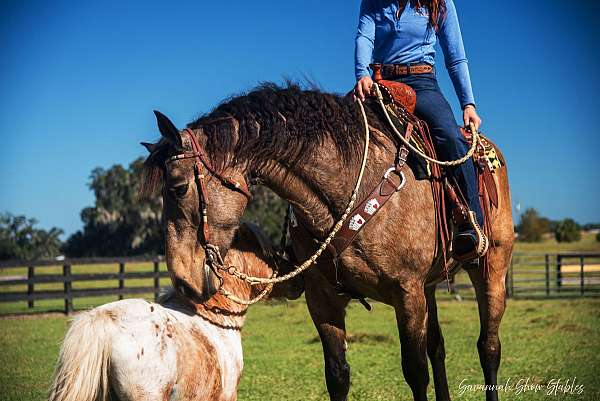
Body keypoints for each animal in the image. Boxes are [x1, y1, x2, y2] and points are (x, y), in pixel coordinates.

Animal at [143, 82, 512, 400]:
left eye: (178, 188)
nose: (183, 281)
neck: (351, 187)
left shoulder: (407, 293)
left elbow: (415, 371)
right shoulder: (323, 300)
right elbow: (337, 375)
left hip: (490, 269)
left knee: (488, 348)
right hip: (431, 287)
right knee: (438, 348)